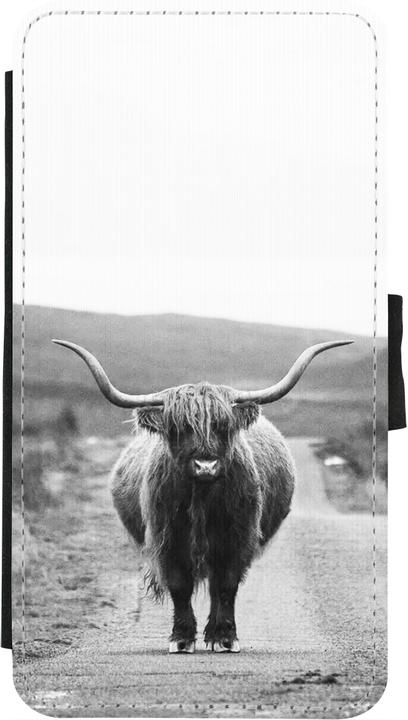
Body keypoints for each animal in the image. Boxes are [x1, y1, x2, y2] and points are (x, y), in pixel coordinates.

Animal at [53, 338, 351, 653]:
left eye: (222, 426)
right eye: (179, 428)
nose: (205, 465)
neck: (202, 499)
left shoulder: (237, 538)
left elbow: (227, 586)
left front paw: (225, 637)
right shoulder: (168, 539)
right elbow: (180, 586)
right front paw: (181, 638)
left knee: (217, 586)